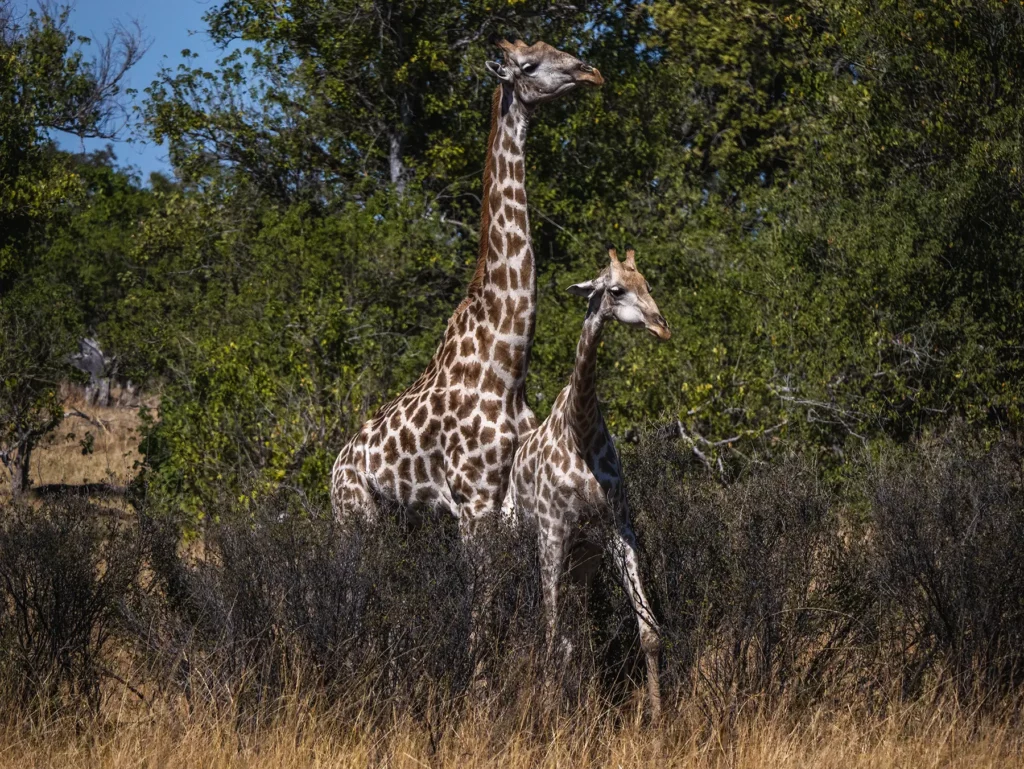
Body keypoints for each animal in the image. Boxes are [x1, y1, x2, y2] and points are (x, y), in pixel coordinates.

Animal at [329, 38, 602, 553]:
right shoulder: (473, 500)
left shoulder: (507, 498)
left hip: (404, 523)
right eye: (529, 66)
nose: (589, 71)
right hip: (356, 518)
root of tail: (332, 469)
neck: (509, 366)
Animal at [501, 247, 671, 719]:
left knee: (576, 633)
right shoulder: (552, 534)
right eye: (615, 290)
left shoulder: (617, 529)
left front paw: (657, 718)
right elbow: (551, 638)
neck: (581, 429)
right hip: (520, 542)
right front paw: (549, 715)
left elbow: (649, 632)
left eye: (647, 283)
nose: (661, 326)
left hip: (583, 560)